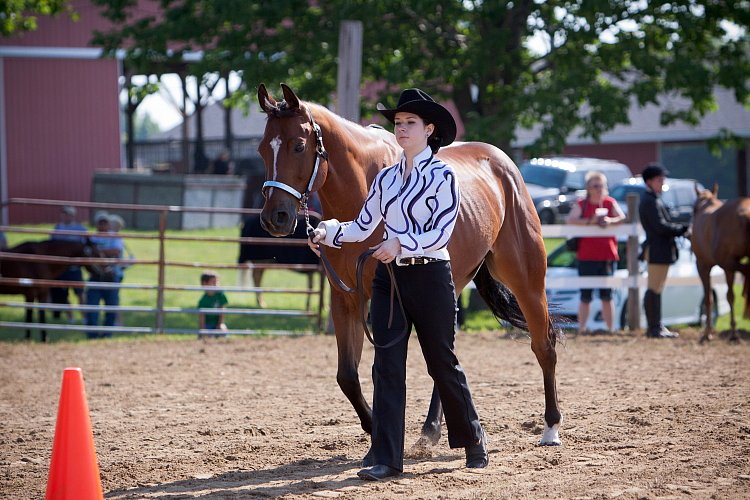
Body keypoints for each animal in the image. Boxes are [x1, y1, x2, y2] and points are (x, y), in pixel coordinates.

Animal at [256, 84, 560, 452]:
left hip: (525, 277)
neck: (361, 190)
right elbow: (348, 376)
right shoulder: (347, 299)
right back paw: (431, 430)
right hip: (451, 286)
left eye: (299, 146)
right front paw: (374, 427)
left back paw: (550, 428)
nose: (275, 218)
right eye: (261, 149)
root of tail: (504, 165)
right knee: (444, 357)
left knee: (543, 345)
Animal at [692, 185, 750, 344]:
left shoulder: (703, 265)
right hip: (730, 264)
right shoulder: (726, 268)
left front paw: (707, 333)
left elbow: (708, 299)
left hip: (728, 263)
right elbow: (729, 296)